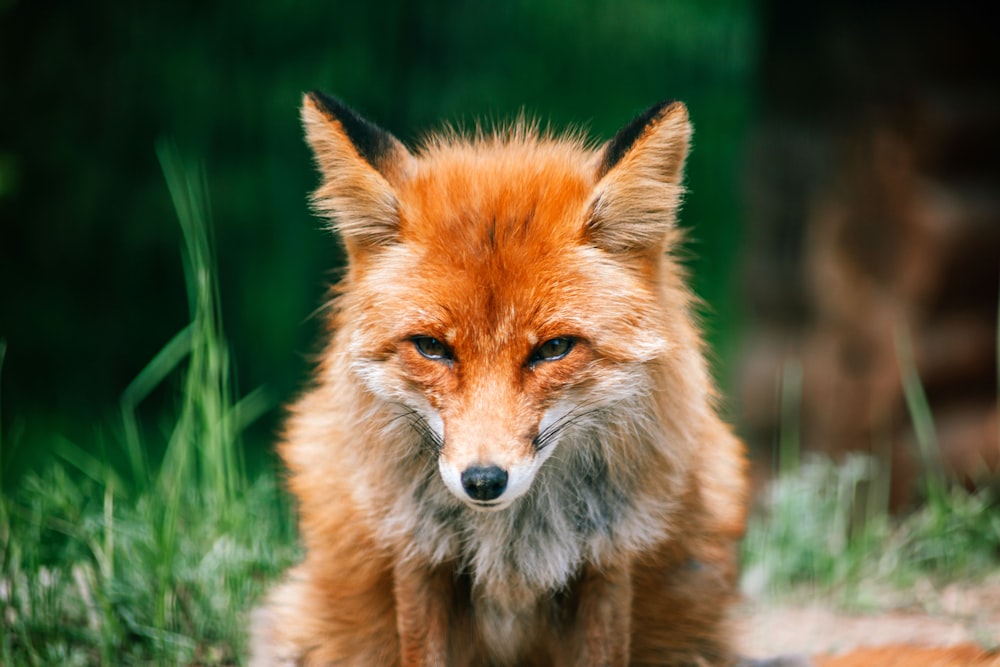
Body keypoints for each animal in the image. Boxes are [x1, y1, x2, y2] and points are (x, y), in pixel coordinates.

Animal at [250, 90, 788, 667]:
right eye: (431, 347)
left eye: (553, 349)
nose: (484, 481)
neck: (513, 544)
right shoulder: (417, 553)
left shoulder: (609, 558)